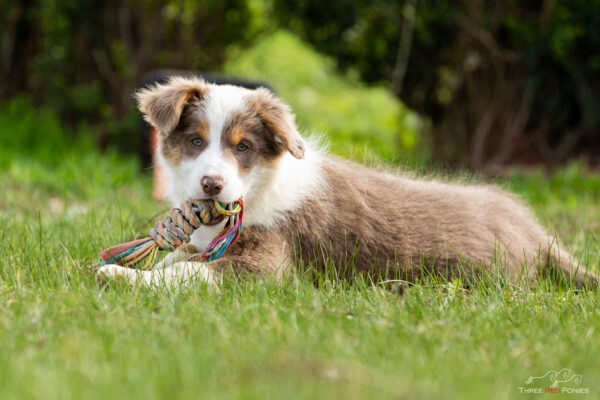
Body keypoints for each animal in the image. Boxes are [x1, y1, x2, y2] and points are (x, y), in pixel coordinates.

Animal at [97, 76, 596, 288]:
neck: (259, 189)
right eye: (196, 141)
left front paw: (120, 275)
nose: (211, 186)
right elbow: (177, 257)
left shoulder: (269, 261)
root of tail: (537, 234)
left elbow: (188, 272)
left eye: (243, 147)